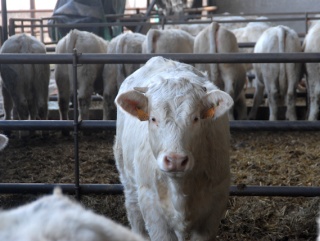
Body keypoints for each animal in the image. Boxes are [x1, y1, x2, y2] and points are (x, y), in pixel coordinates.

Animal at [114, 56, 234, 239]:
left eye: (196, 118)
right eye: (153, 118)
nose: (176, 160)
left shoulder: (215, 207)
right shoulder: (152, 208)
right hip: (128, 180)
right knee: (133, 210)